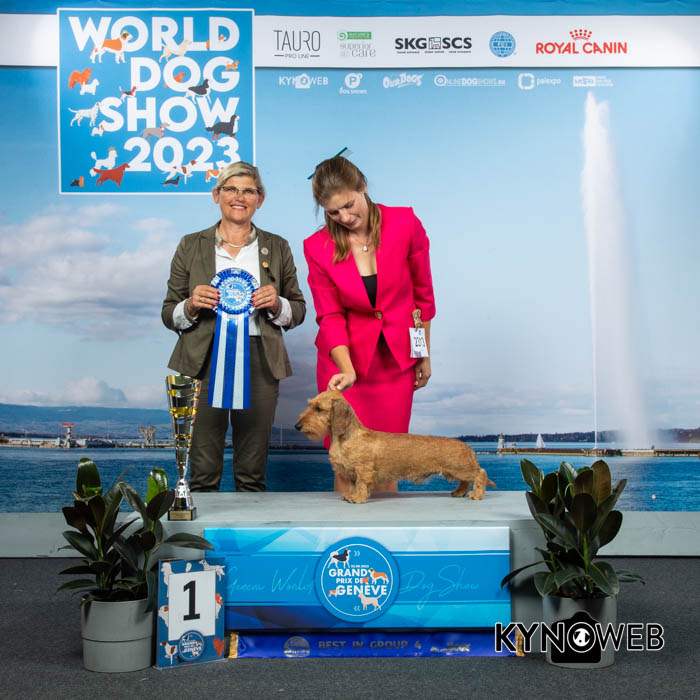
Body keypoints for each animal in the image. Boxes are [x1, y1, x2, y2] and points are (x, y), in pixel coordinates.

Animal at [295, 390, 495, 504]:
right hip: (454, 471)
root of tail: (467, 446)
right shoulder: (351, 472)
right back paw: (459, 492)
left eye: (319, 409)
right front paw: (349, 495)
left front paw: (358, 499)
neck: (348, 436)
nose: (297, 426)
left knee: (480, 474)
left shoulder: (363, 470)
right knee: (466, 481)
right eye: (310, 405)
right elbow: (352, 485)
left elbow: (361, 485)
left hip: (459, 468)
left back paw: (476, 495)